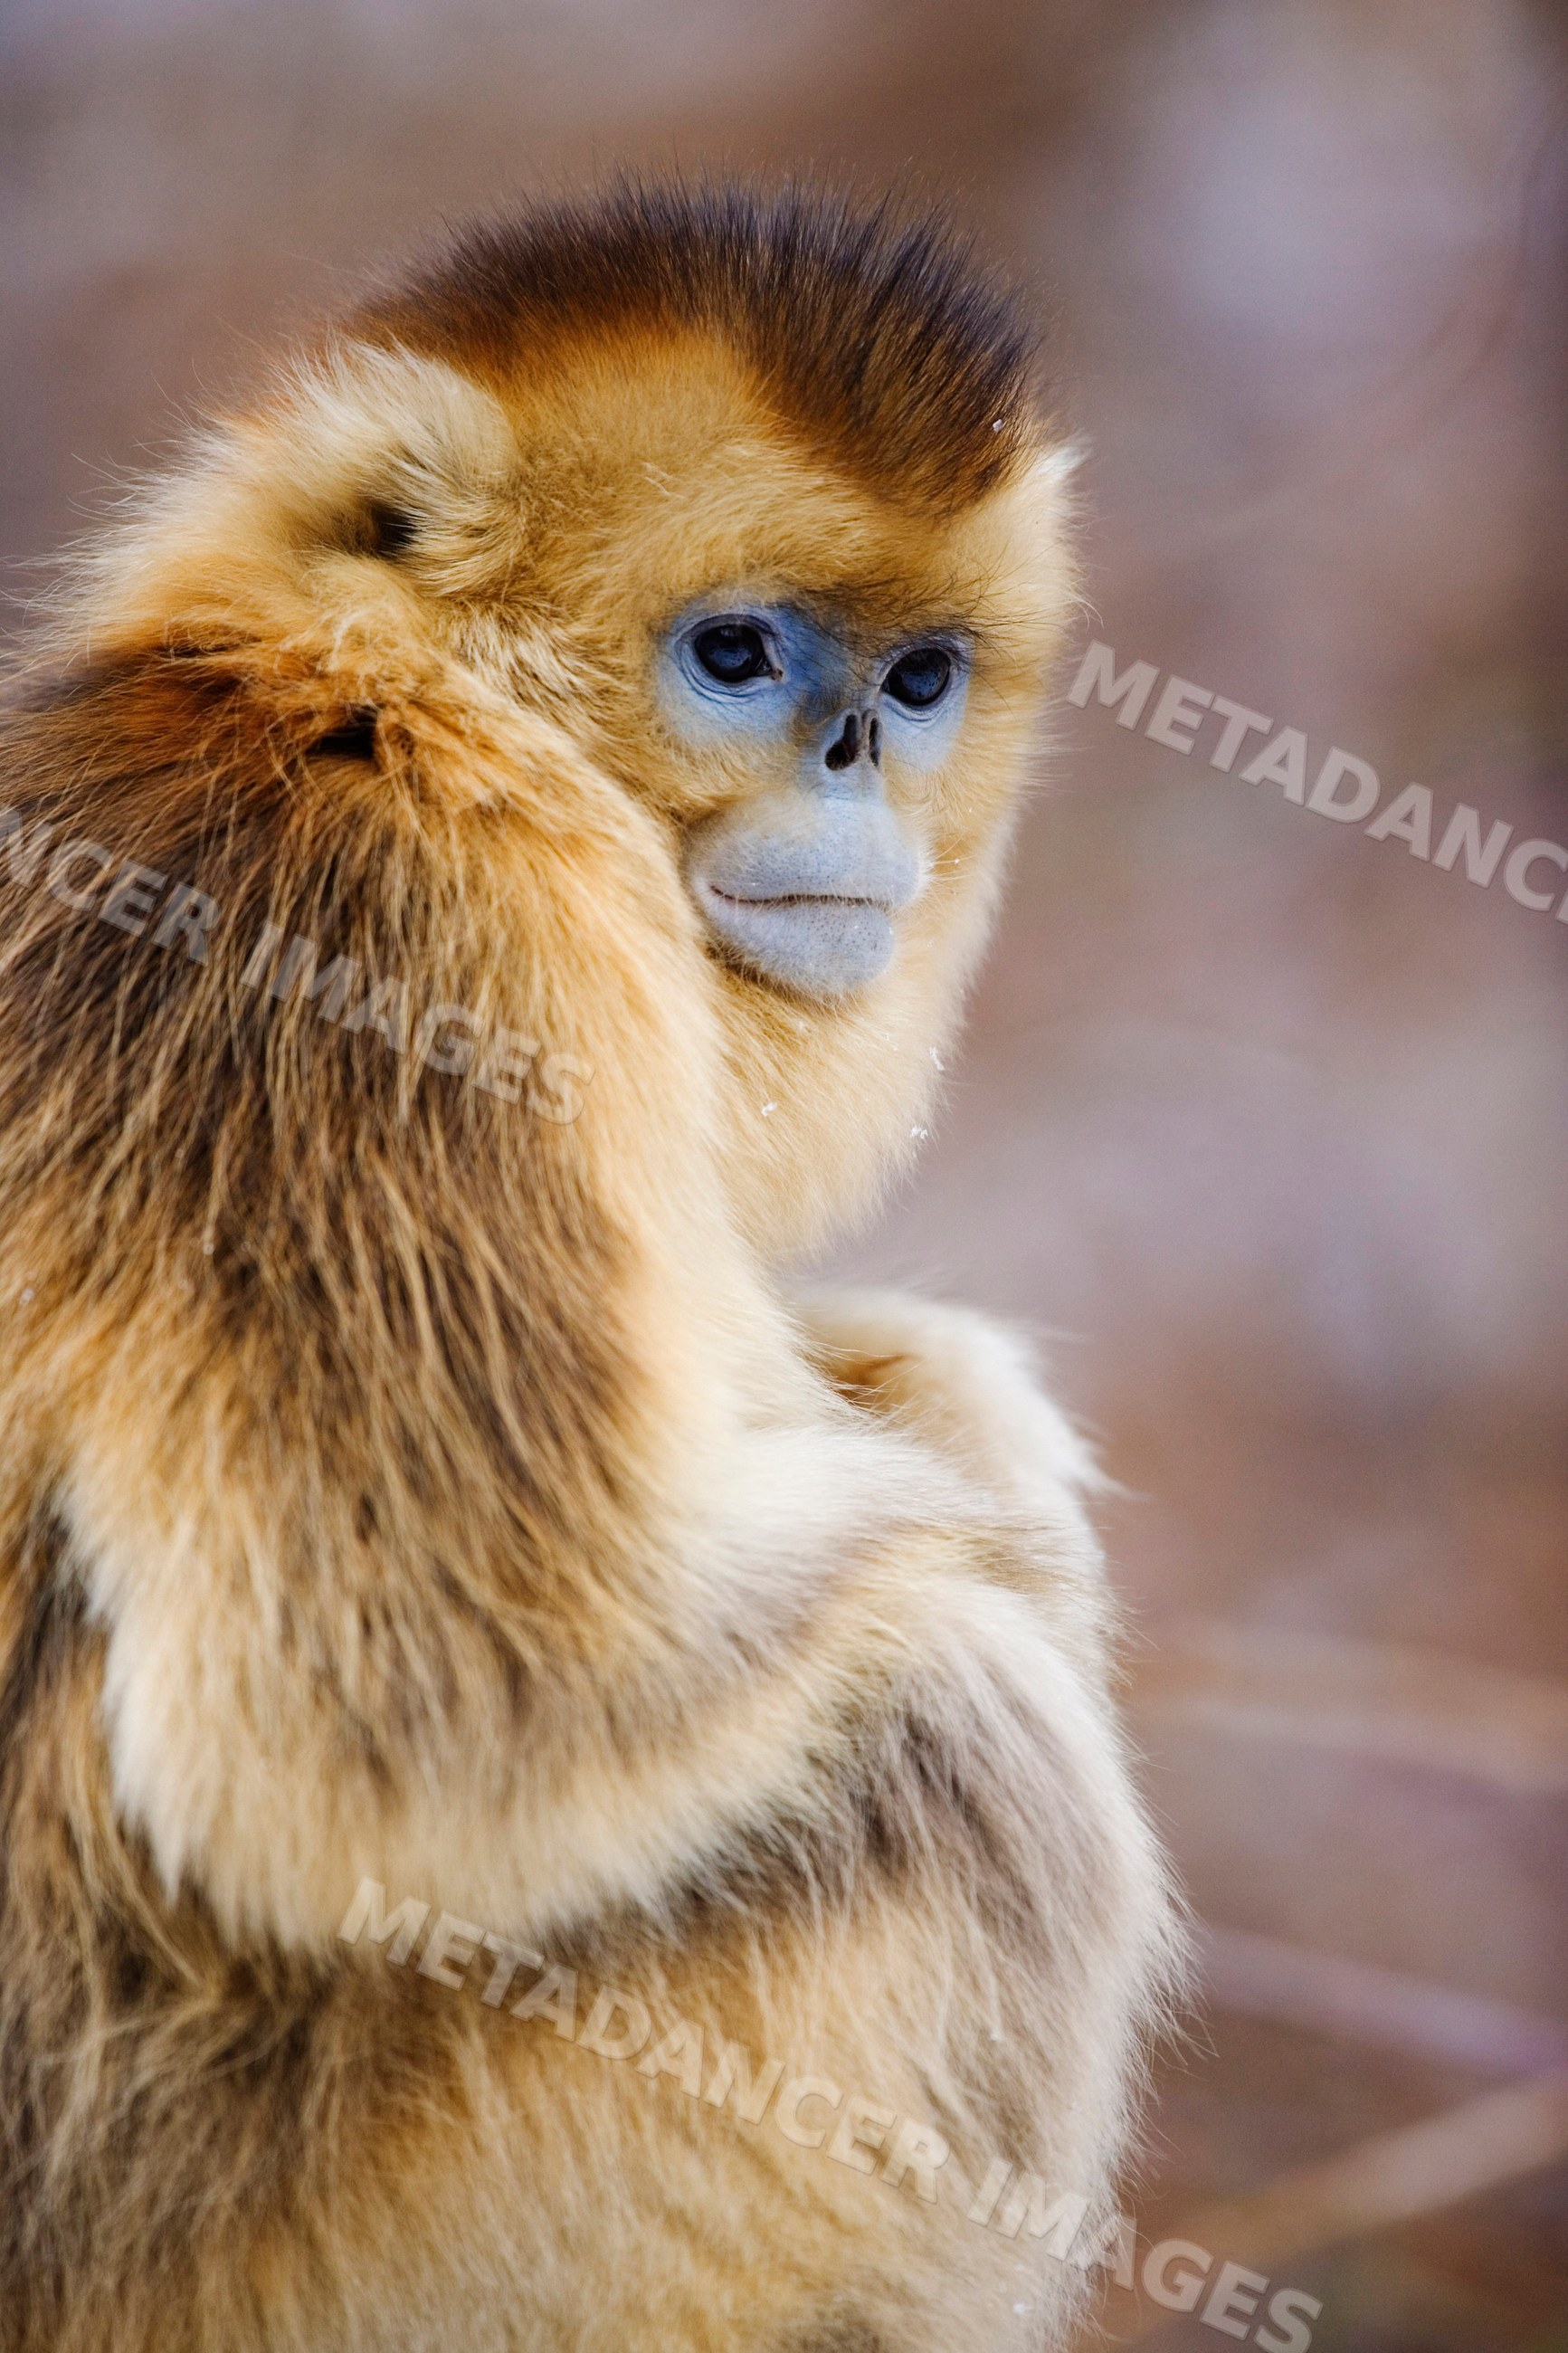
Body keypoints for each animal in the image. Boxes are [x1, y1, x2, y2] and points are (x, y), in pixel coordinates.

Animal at [0, 183, 1180, 2352]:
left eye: (920, 681)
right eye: (733, 654)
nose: (852, 756)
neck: (369, 703)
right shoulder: (397, 933)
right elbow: (425, 1720)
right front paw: (998, 1518)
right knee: (957, 1746)